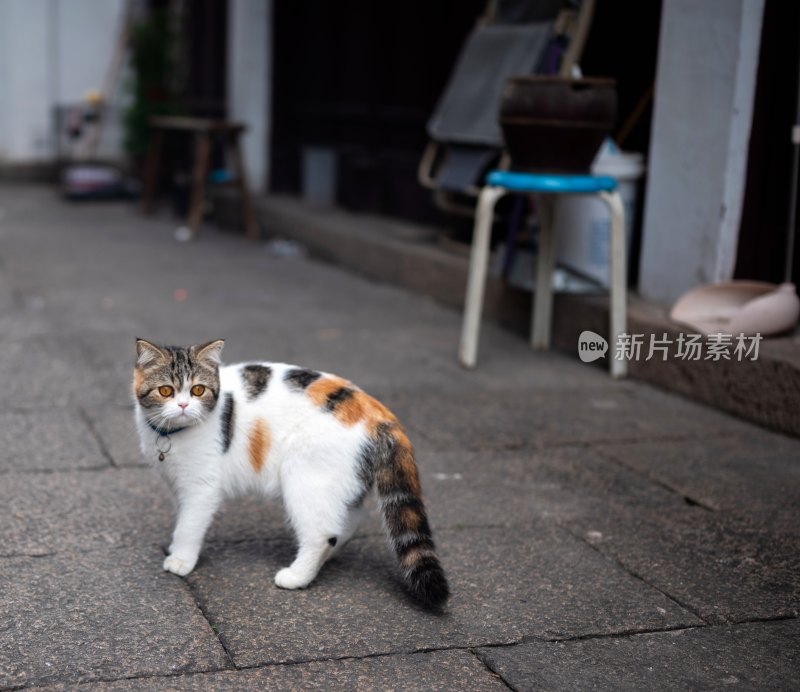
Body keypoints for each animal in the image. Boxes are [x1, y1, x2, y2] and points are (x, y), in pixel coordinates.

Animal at [135, 338, 454, 608]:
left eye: (198, 390)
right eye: (166, 390)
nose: (183, 405)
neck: (170, 436)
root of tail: (376, 410)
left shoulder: (201, 488)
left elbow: (189, 524)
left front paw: (180, 559)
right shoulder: (178, 484)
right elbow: (182, 517)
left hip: (304, 479)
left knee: (321, 533)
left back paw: (297, 575)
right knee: (346, 521)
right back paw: (328, 558)